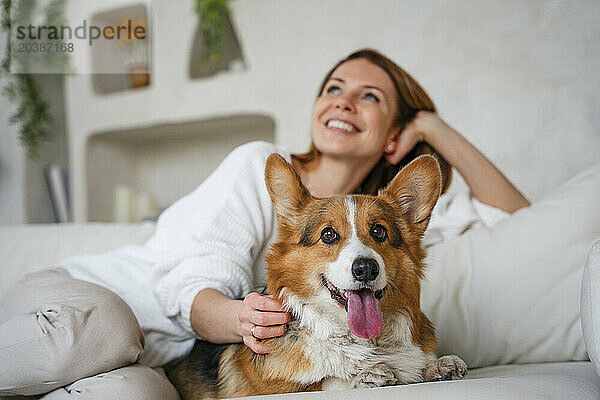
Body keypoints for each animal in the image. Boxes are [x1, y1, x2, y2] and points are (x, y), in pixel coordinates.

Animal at [168, 153, 468, 400]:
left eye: (379, 231)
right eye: (328, 234)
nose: (366, 268)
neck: (359, 339)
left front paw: (438, 366)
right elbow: (320, 383)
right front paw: (363, 376)